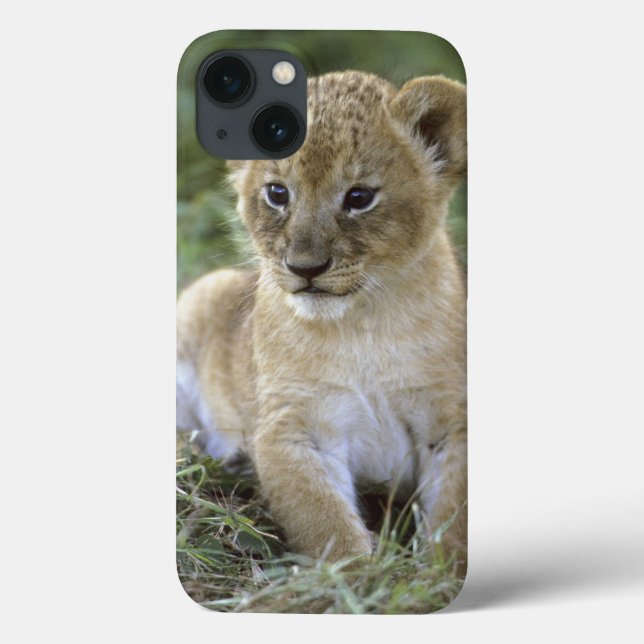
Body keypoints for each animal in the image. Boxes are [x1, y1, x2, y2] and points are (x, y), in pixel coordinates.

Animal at [177, 70, 467, 567]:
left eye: (359, 197)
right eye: (277, 193)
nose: (305, 268)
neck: (363, 324)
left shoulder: (451, 422)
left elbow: (453, 519)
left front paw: (438, 572)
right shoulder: (293, 427)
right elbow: (325, 524)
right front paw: (359, 575)